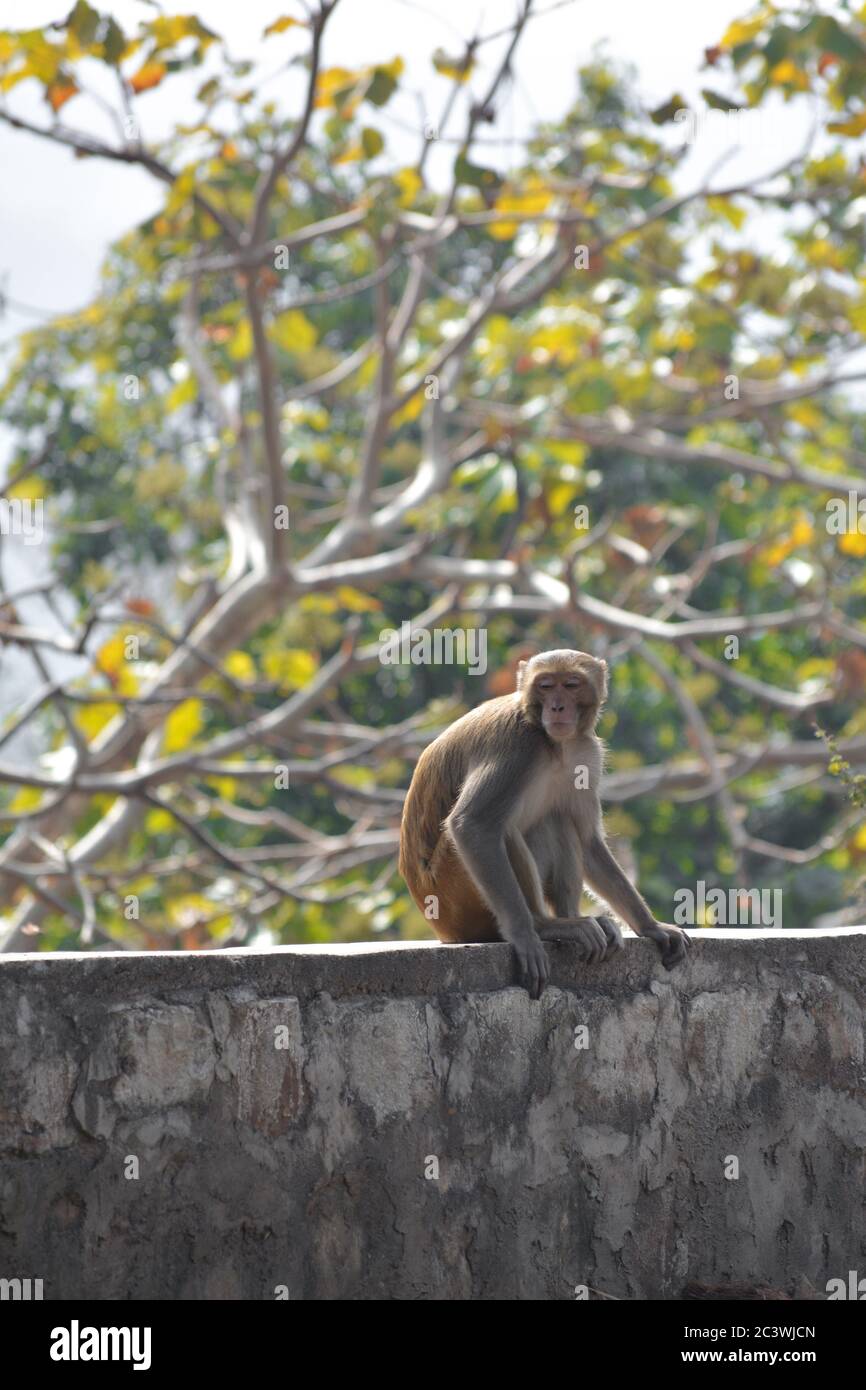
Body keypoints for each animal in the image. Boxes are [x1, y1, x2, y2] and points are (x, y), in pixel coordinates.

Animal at [399, 648, 689, 996]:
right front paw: (525, 935)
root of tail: (442, 929)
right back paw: (543, 925)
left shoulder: (586, 754)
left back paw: (575, 919)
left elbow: (588, 841)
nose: (557, 707)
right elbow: (472, 825)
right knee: (502, 830)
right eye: (546, 685)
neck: (553, 742)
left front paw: (650, 926)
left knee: (557, 821)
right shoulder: (517, 746)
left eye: (572, 684)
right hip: (453, 894)